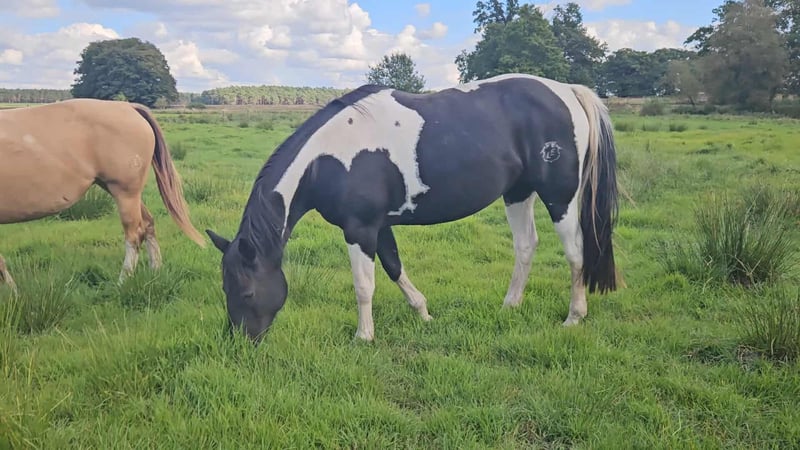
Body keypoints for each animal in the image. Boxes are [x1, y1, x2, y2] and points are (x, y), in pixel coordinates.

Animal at [0, 98, 206, 293]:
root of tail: (129, 107)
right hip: (124, 192)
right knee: (148, 223)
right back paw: (156, 270)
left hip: (125, 193)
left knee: (134, 234)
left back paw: (123, 281)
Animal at [206, 73, 622, 343]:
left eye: (246, 293)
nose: (241, 341)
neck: (328, 159)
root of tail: (568, 91)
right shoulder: (377, 226)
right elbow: (394, 267)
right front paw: (423, 313)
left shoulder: (359, 230)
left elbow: (364, 285)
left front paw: (364, 336)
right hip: (519, 193)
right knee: (526, 246)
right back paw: (510, 306)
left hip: (560, 197)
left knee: (575, 253)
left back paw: (573, 318)